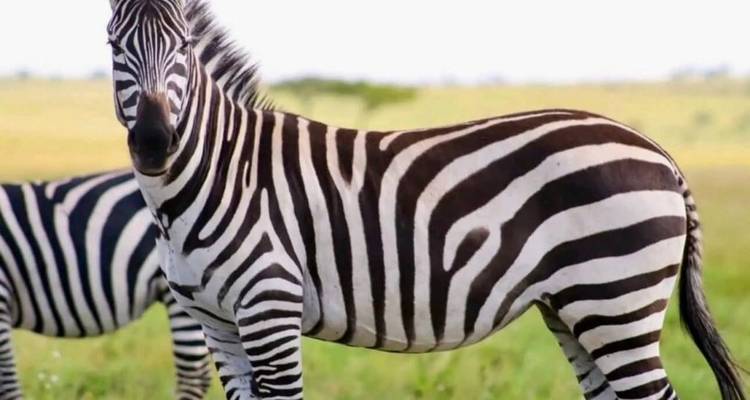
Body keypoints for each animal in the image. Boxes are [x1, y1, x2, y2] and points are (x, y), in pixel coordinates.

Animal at [106, 0, 746, 399]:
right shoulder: (215, 322)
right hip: (577, 308)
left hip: (616, 299)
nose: (155, 144)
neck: (217, 172)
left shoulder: (270, 307)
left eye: (184, 45)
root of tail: (658, 152)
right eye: (113, 46)